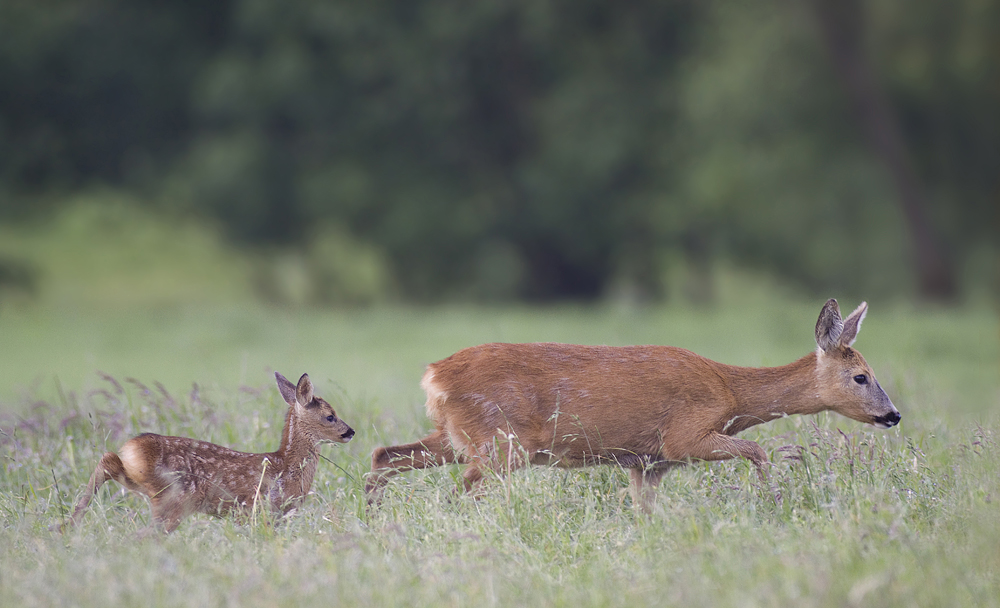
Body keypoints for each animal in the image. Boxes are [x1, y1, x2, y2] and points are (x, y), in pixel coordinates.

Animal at [59, 370, 356, 532]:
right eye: (330, 416)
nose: (350, 431)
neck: (287, 466)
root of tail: (134, 448)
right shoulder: (262, 510)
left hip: (140, 483)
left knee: (108, 458)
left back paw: (67, 525)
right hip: (175, 498)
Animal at [368, 296, 900, 510]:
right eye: (861, 376)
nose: (893, 415)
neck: (730, 392)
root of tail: (434, 375)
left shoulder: (646, 463)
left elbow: (645, 511)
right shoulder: (684, 436)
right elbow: (759, 451)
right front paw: (768, 500)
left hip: (457, 435)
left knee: (384, 454)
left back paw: (371, 518)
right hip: (502, 440)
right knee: (462, 487)